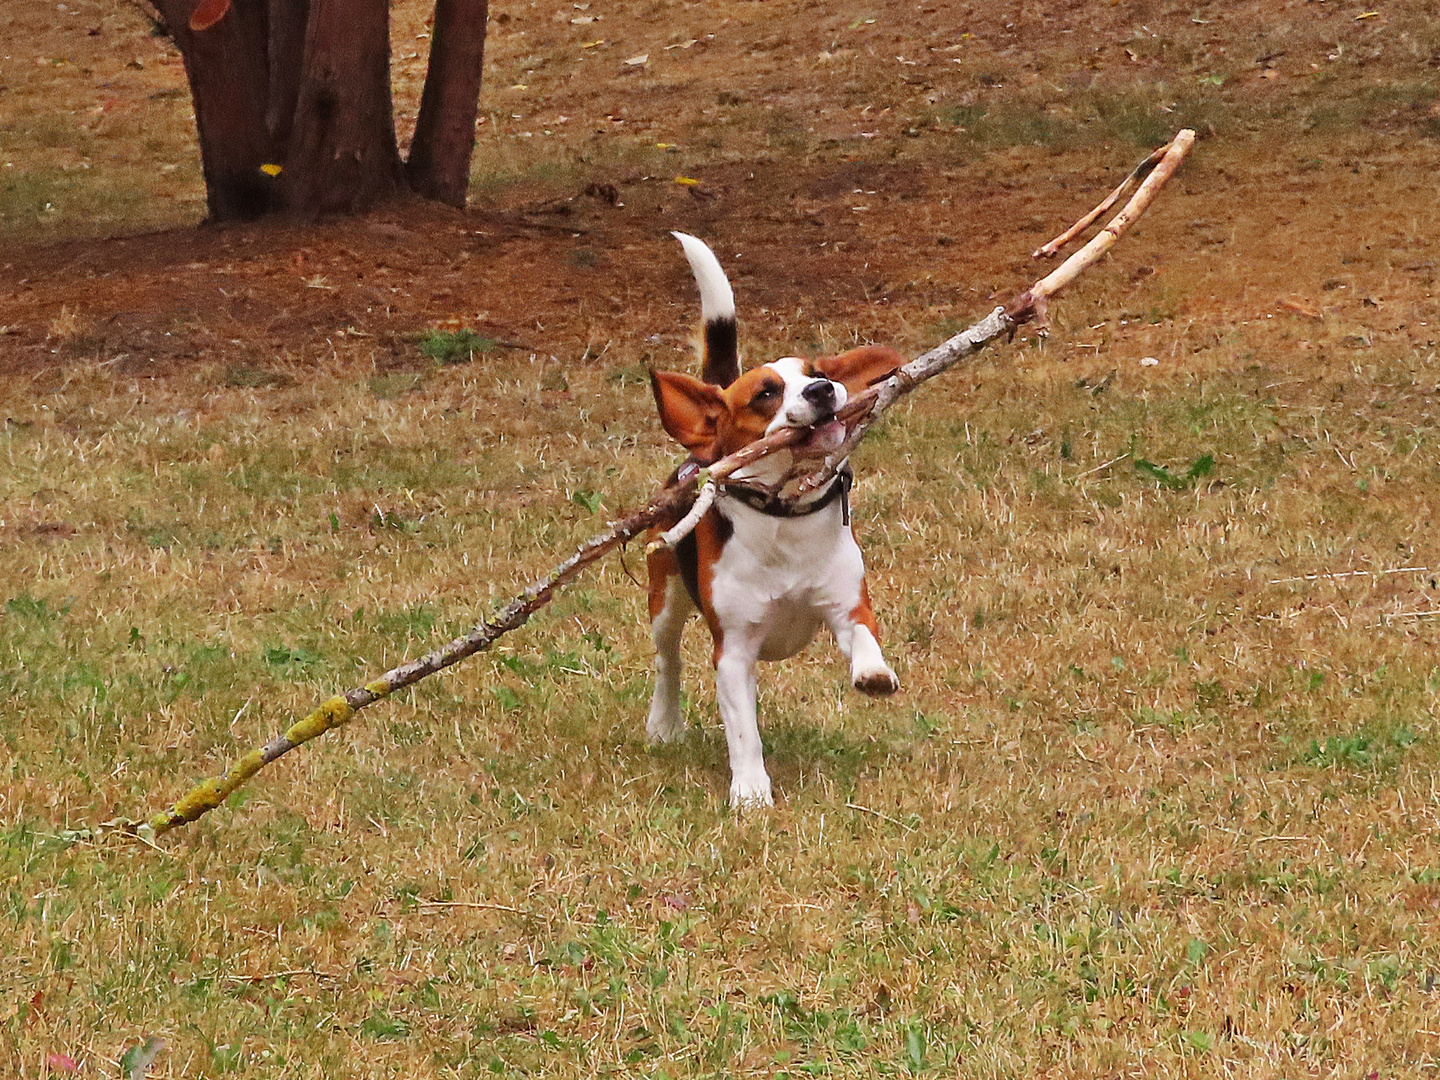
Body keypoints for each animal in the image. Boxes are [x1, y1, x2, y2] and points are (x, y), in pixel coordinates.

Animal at [650, 236, 898, 812]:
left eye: (819, 371)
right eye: (766, 393)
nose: (823, 390)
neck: (786, 517)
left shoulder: (847, 604)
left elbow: (864, 635)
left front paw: (873, 672)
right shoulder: (734, 651)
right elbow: (743, 730)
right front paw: (750, 793)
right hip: (665, 597)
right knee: (668, 662)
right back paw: (664, 723)